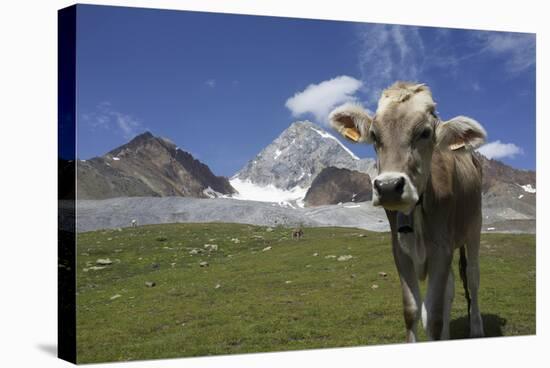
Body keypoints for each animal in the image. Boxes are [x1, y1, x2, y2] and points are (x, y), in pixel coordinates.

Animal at [330, 82, 486, 340]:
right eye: (374, 135)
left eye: (425, 133)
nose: (388, 187)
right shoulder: (400, 251)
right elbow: (412, 311)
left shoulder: (441, 249)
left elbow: (432, 317)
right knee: (451, 288)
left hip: (474, 227)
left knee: (472, 277)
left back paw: (476, 329)